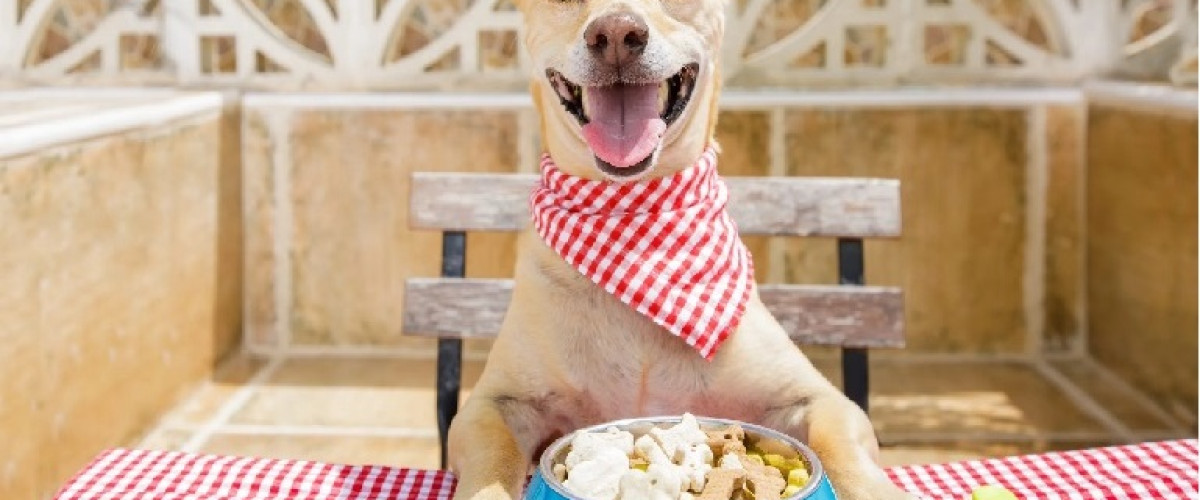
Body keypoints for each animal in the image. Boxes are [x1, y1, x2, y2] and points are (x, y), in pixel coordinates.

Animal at [446, 0, 912, 498]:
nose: (615, 33)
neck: (637, 228)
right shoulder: (491, 404)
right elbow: (493, 462)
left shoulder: (819, 398)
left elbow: (842, 447)